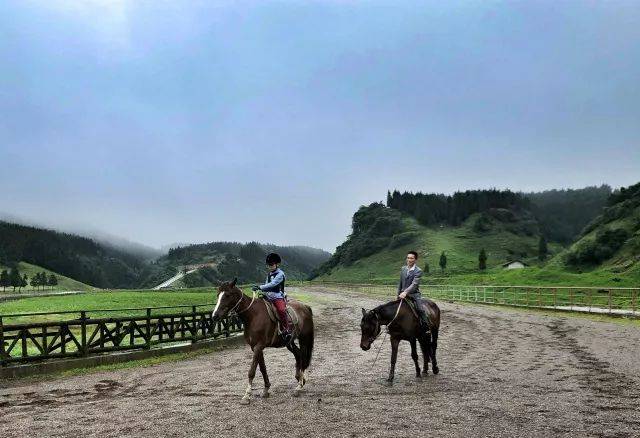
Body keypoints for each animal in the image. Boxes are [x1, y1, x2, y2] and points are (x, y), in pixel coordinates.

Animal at [211, 278, 314, 406]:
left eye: (227, 295)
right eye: (218, 295)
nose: (215, 316)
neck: (253, 315)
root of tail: (305, 307)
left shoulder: (258, 346)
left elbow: (252, 371)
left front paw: (247, 396)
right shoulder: (255, 347)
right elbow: (262, 368)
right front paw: (266, 389)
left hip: (304, 338)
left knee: (303, 357)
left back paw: (299, 387)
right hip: (289, 342)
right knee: (298, 354)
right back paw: (301, 379)